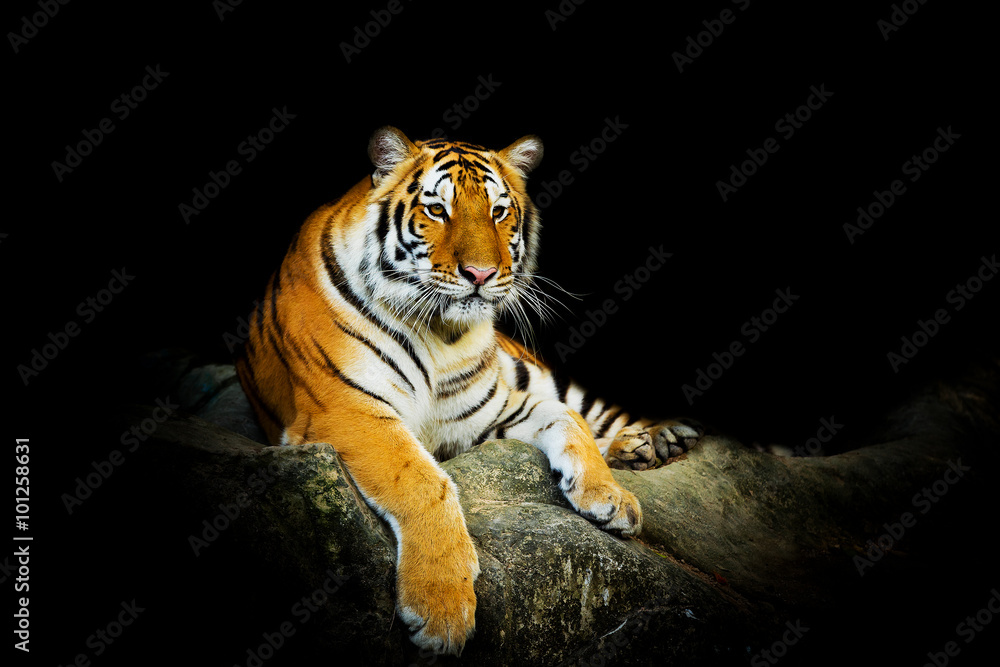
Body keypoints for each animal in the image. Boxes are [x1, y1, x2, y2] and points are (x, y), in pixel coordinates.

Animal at [234, 126, 702, 656]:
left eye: (498, 211)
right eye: (438, 209)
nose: (480, 274)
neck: (441, 334)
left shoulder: (490, 413)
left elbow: (569, 418)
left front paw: (612, 497)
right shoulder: (348, 410)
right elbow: (423, 481)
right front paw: (441, 610)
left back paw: (660, 440)